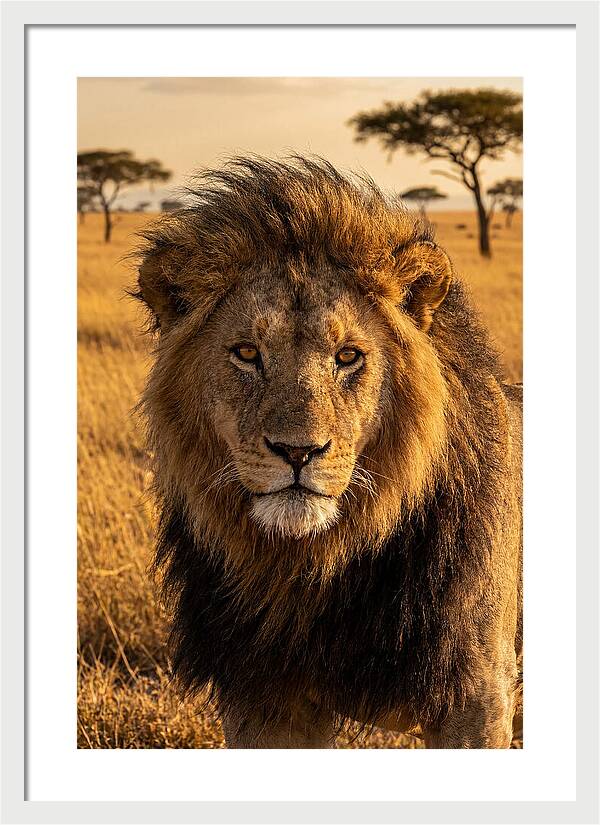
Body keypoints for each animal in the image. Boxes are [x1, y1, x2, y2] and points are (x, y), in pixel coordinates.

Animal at [134, 156, 523, 748]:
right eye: (246, 353)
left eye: (348, 356)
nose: (298, 452)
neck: (312, 568)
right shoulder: (262, 699)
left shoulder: (476, 696)